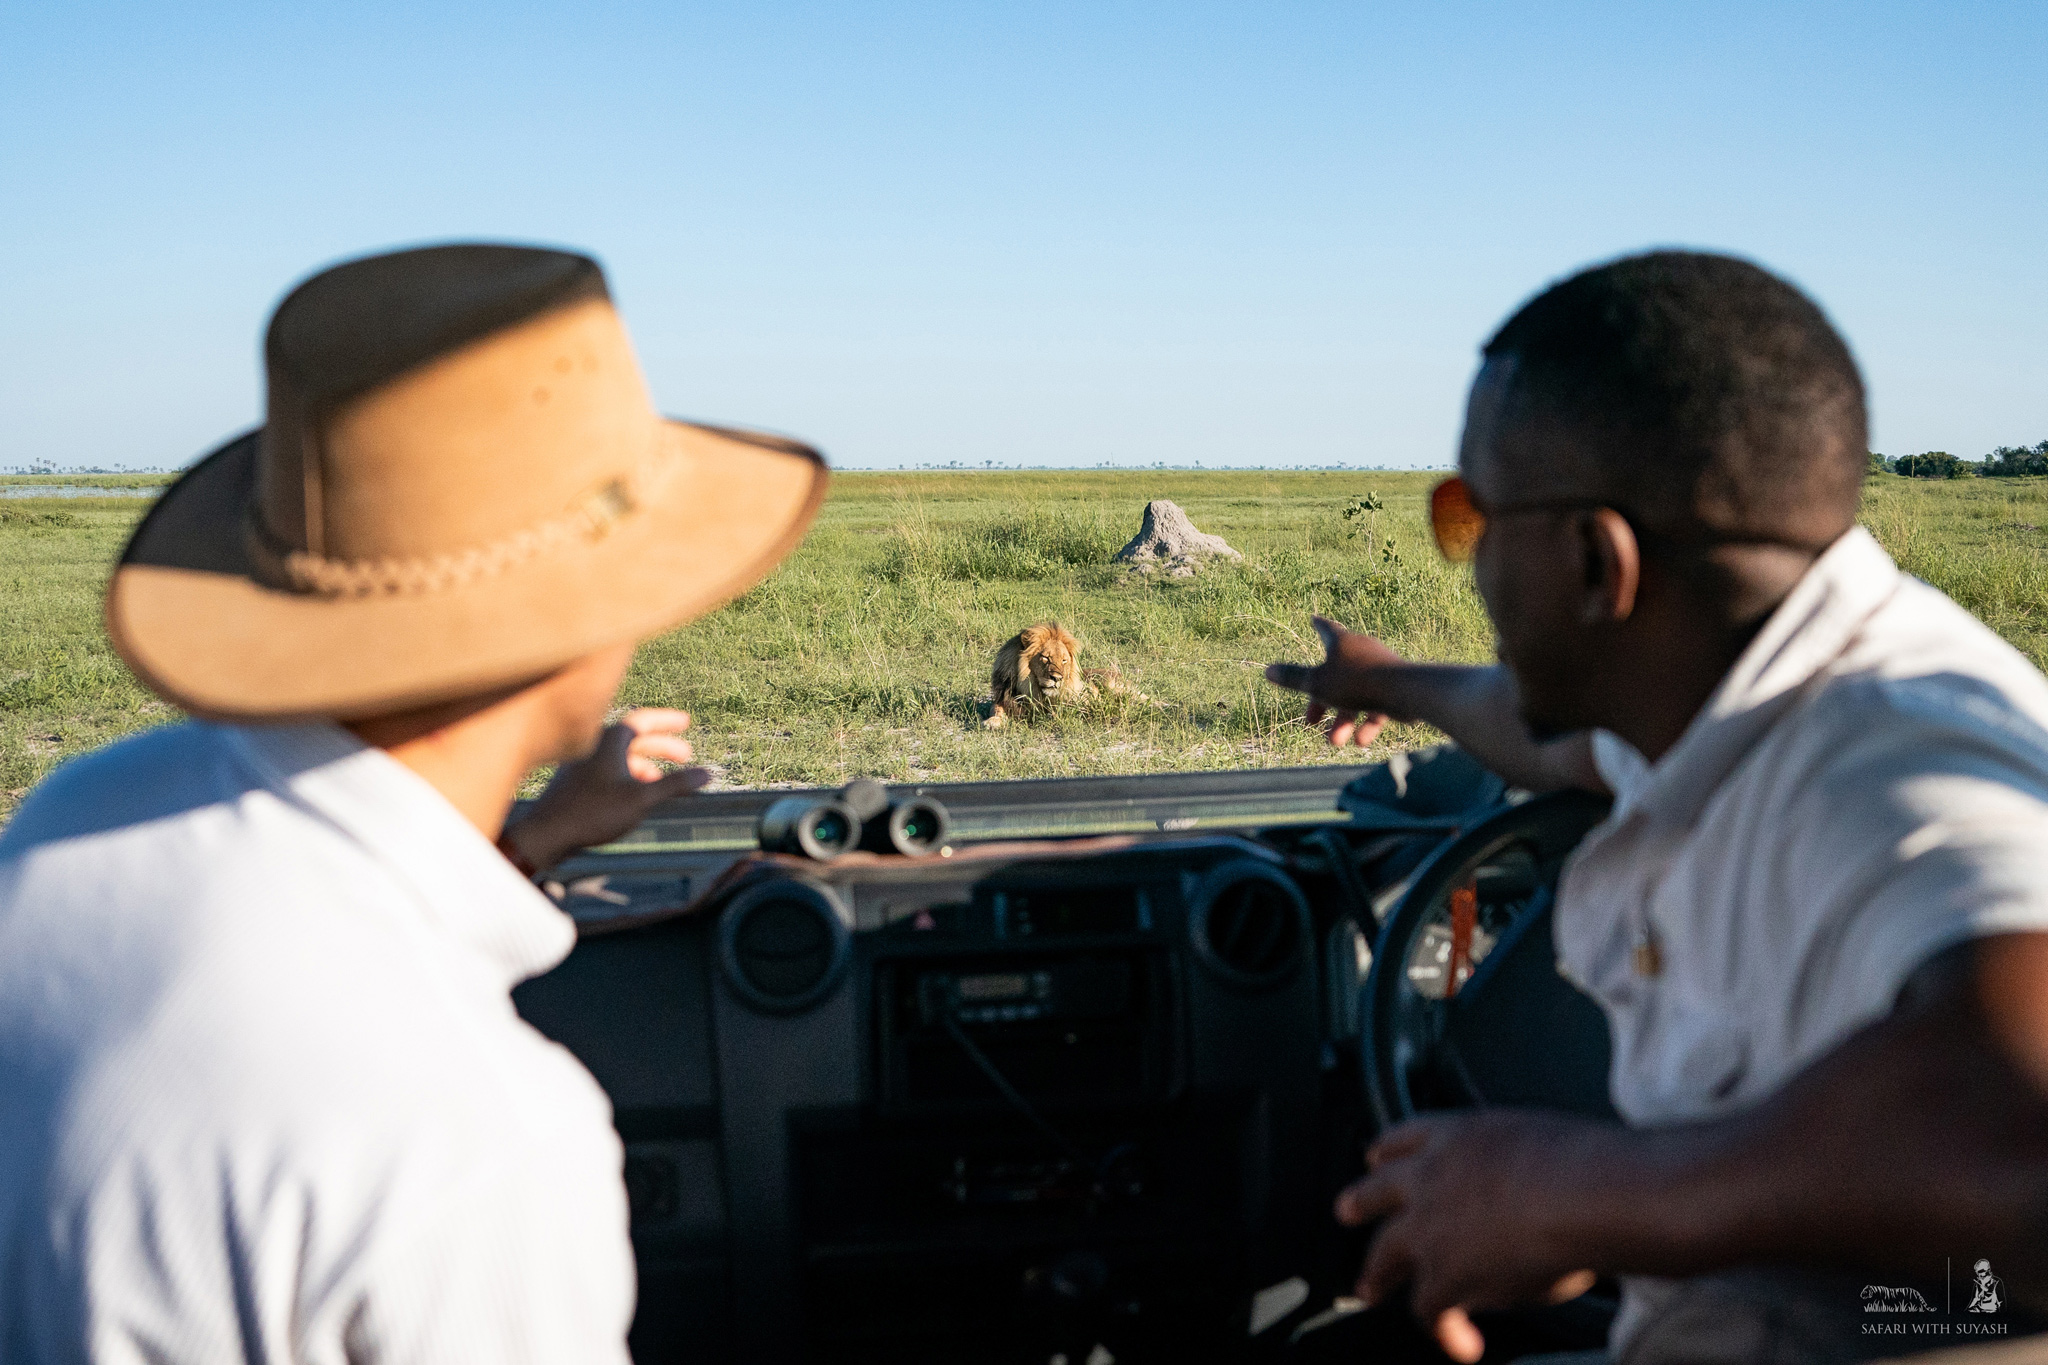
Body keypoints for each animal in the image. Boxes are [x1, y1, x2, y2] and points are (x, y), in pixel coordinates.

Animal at [982, 622, 1139, 729]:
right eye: (1045, 658)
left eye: (1064, 660)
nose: (1057, 678)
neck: (1034, 690)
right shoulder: (1005, 698)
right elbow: (995, 709)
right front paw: (992, 722)